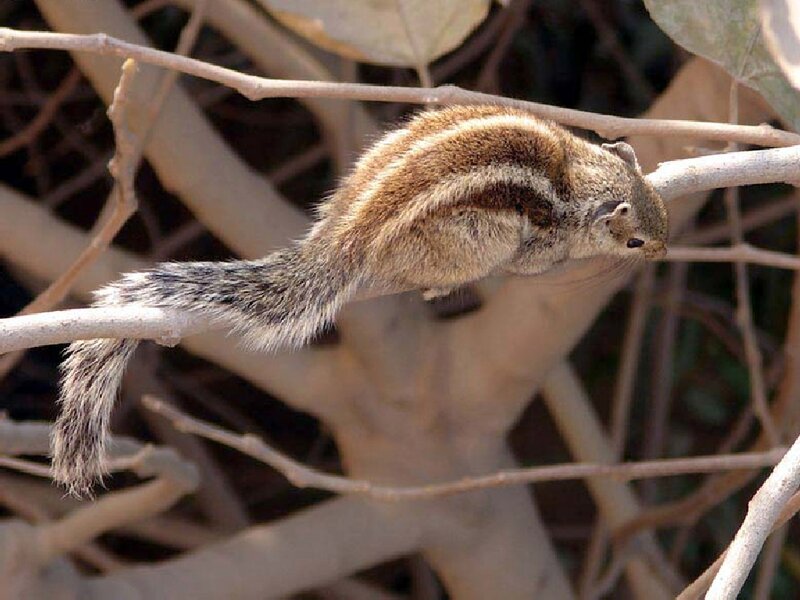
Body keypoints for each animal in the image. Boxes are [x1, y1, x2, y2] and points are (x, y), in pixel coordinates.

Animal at [53, 104, 668, 496]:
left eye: (661, 209)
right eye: (635, 241)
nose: (664, 251)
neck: (575, 175)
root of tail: (349, 231)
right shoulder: (541, 231)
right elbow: (536, 259)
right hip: (471, 235)